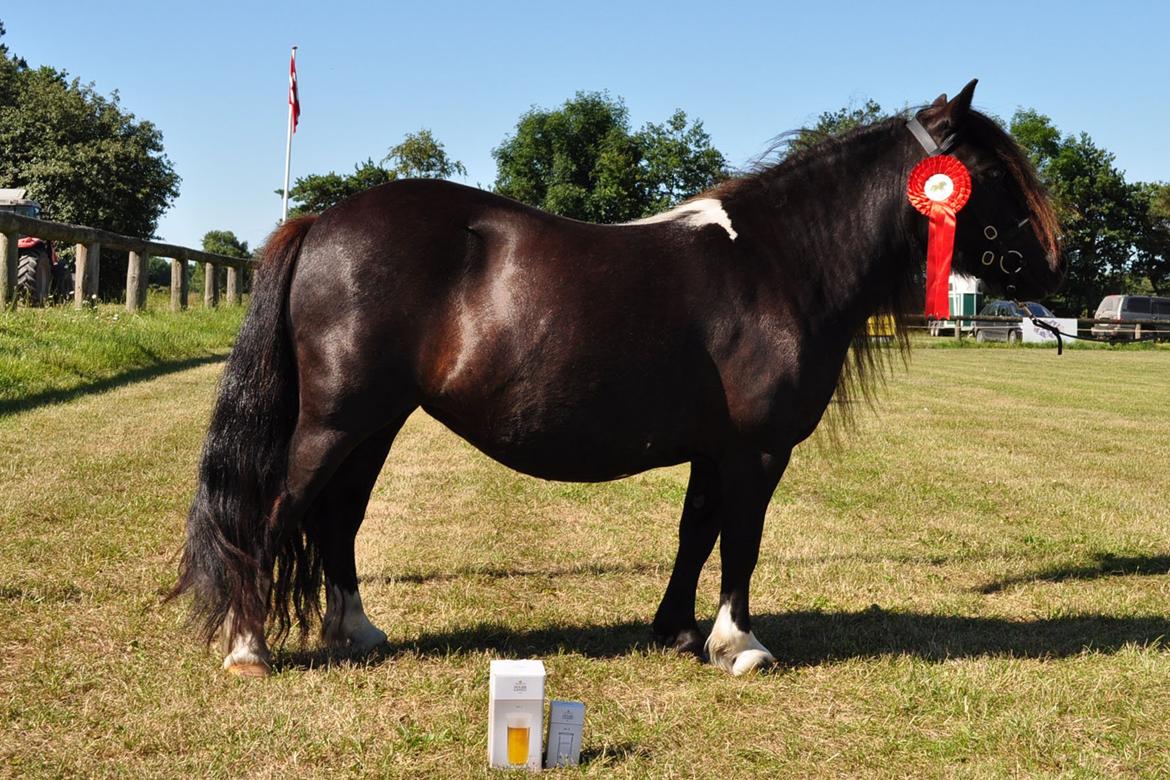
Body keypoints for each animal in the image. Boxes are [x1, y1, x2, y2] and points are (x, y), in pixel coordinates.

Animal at [170, 80, 1062, 678]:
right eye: (993, 174)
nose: (1052, 265)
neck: (780, 263)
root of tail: (323, 221)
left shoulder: (715, 447)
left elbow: (696, 531)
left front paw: (679, 633)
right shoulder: (758, 449)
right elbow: (741, 538)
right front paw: (741, 644)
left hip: (375, 422)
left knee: (337, 520)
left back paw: (355, 632)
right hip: (336, 420)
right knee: (276, 511)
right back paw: (250, 649)